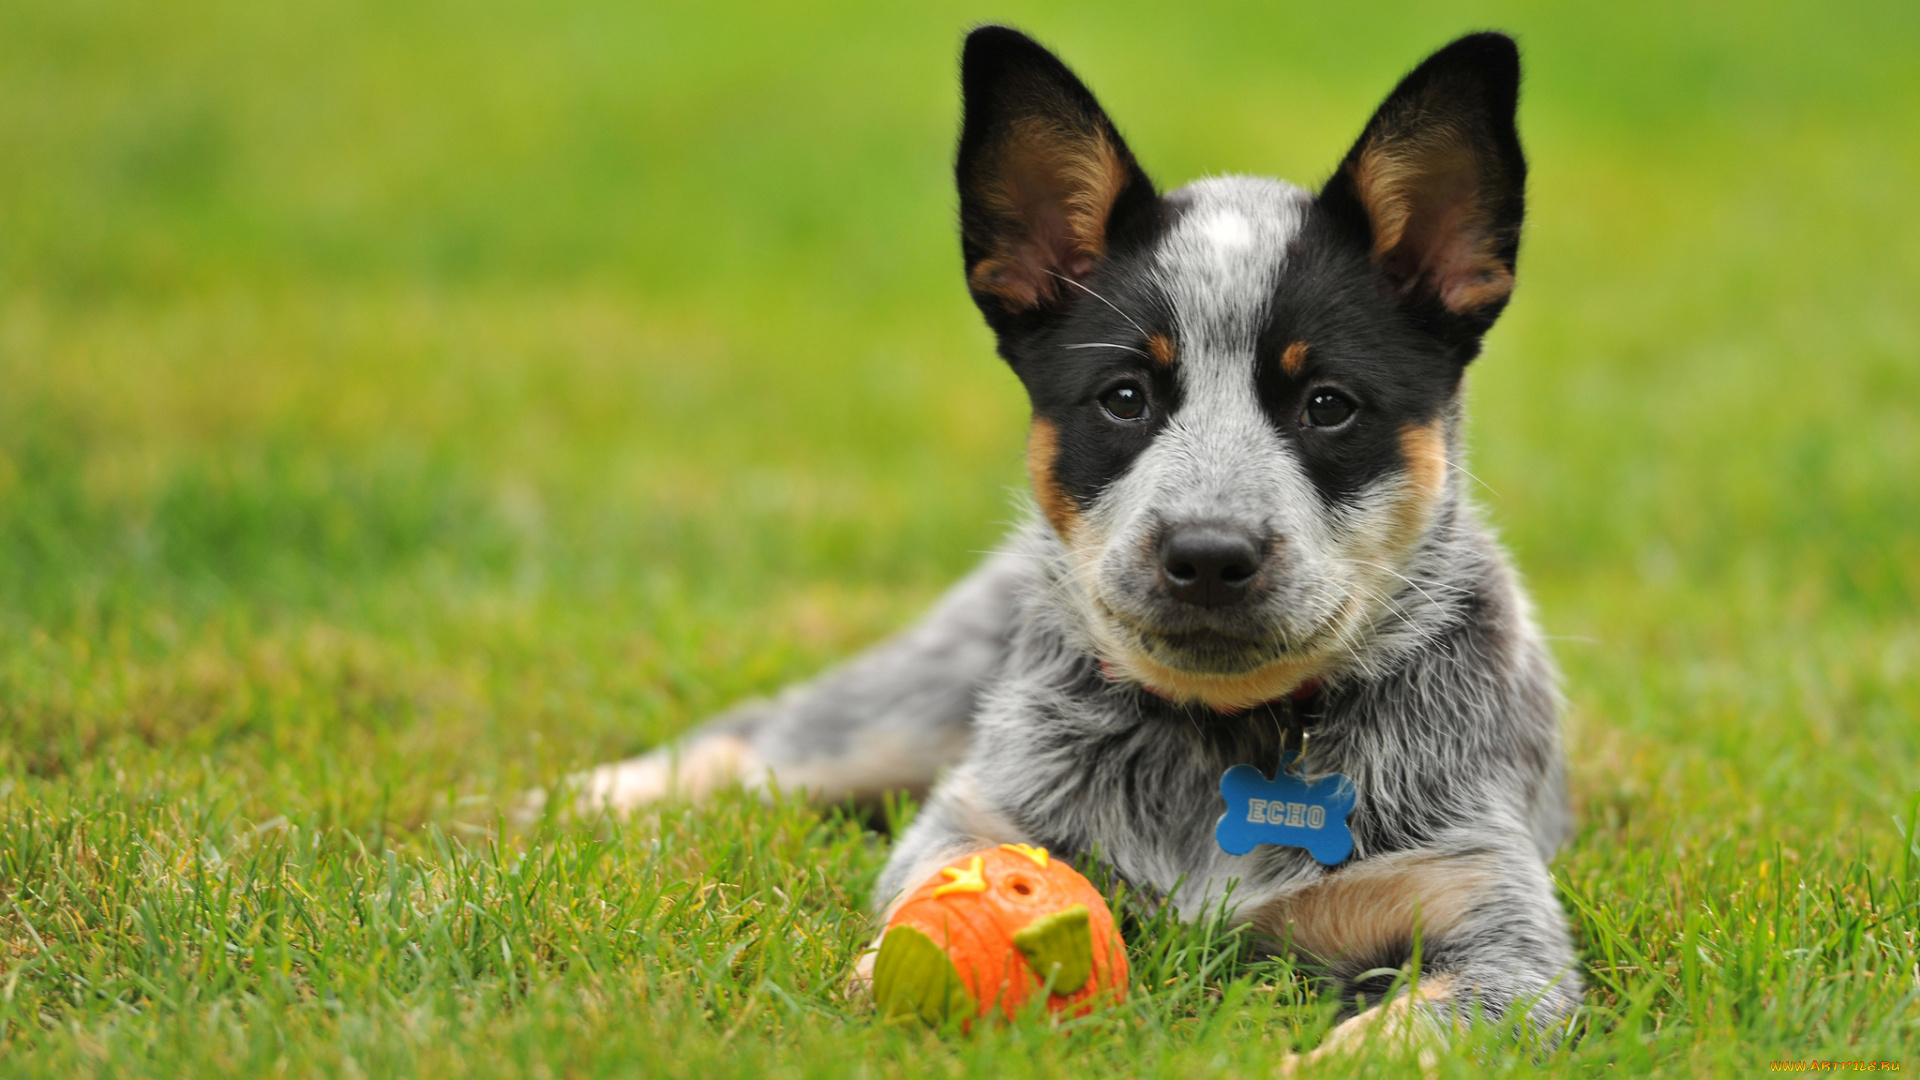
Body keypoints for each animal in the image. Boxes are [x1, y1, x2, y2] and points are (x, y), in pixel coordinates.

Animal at [552, 27, 1574, 1053]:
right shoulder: (976, 813)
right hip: (914, 703)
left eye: (1328, 405)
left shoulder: (1497, 926)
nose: (1208, 554)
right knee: (766, 739)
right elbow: (917, 911)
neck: (1224, 744)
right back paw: (589, 798)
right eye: (1125, 396)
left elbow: (1411, 1033)